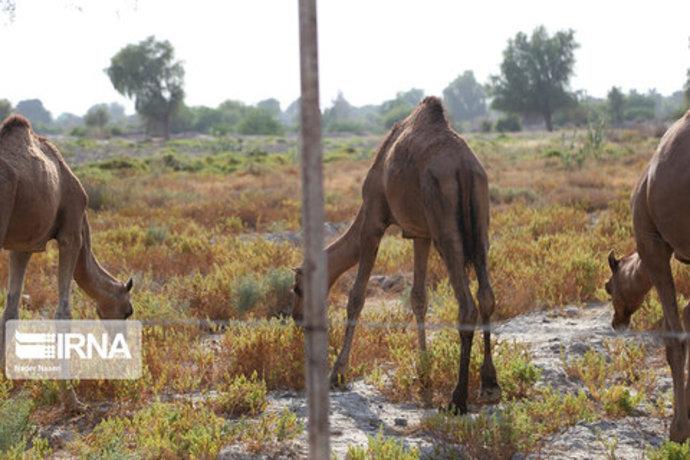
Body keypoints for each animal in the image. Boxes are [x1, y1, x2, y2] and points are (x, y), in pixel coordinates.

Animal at [0, 115, 134, 414]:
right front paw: (73, 401)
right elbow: (63, 311)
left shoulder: (22, 246)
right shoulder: (71, 233)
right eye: (128, 311)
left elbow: (11, 309)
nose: (122, 345)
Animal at [292, 97, 500, 414]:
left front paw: (337, 373)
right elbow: (419, 298)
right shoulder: (419, 233)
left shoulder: (374, 218)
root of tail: (464, 167)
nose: (297, 318)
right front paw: (423, 370)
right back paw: (489, 384)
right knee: (486, 296)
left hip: (446, 230)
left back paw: (457, 399)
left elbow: (356, 297)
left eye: (297, 288)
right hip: (480, 226)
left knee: (467, 306)